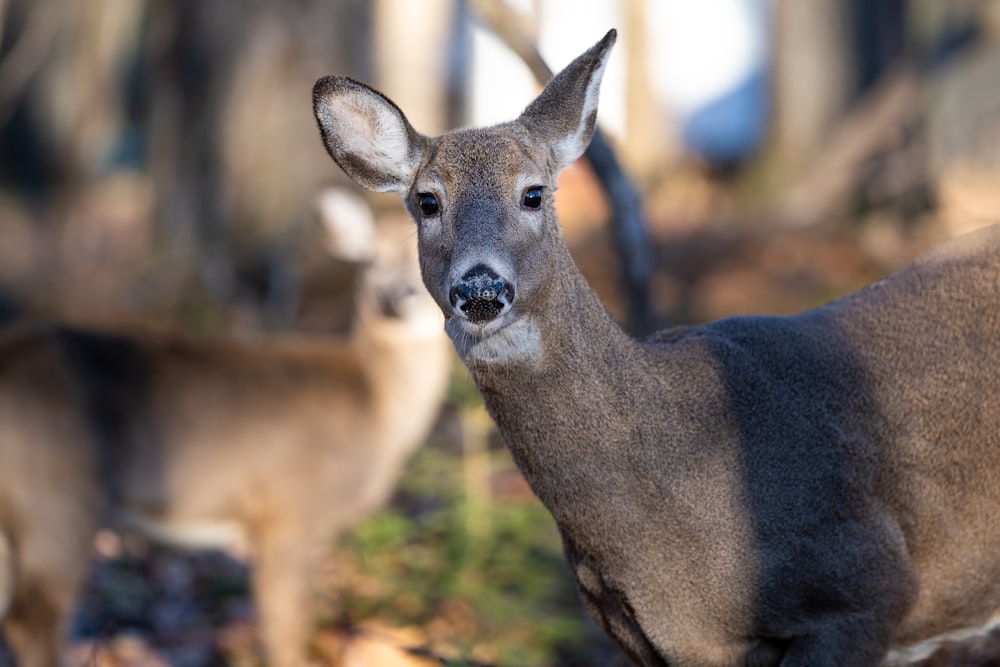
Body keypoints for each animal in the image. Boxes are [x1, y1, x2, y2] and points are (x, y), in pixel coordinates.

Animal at [0, 188, 454, 667]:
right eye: (370, 260)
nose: (403, 297)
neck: (373, 405)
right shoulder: (286, 507)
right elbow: (285, 628)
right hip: (56, 496)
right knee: (34, 620)